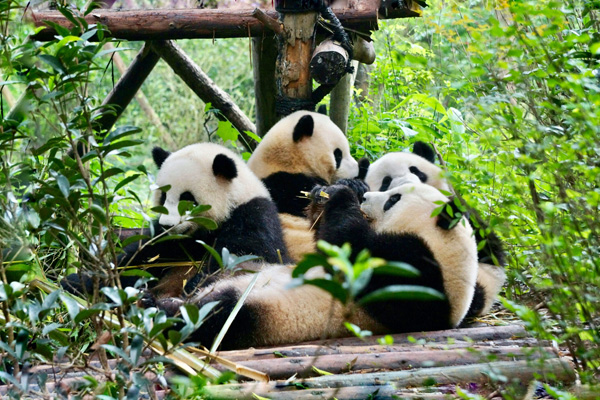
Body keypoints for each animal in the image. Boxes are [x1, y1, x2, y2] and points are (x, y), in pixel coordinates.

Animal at [62, 143, 292, 296]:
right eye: (163, 197)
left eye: (187, 199)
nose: (167, 226)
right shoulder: (166, 242)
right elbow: (139, 258)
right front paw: (80, 281)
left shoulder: (252, 216)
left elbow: (246, 257)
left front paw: (192, 287)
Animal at [151, 183, 478, 348]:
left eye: (393, 199)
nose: (366, 196)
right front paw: (329, 191)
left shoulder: (421, 279)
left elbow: (356, 254)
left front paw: (341, 196)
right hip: (238, 273)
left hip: (259, 313)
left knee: (216, 316)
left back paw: (160, 308)